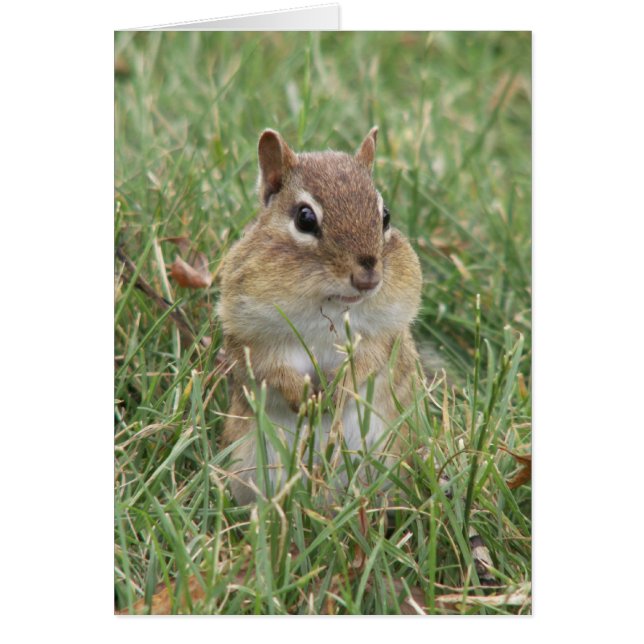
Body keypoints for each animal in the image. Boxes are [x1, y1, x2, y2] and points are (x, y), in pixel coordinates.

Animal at [218, 127, 423, 505]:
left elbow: (366, 364)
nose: (367, 276)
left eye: (385, 216)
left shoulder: (380, 335)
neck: (329, 304)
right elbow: (271, 370)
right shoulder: (255, 337)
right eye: (305, 218)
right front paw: (303, 398)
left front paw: (338, 393)